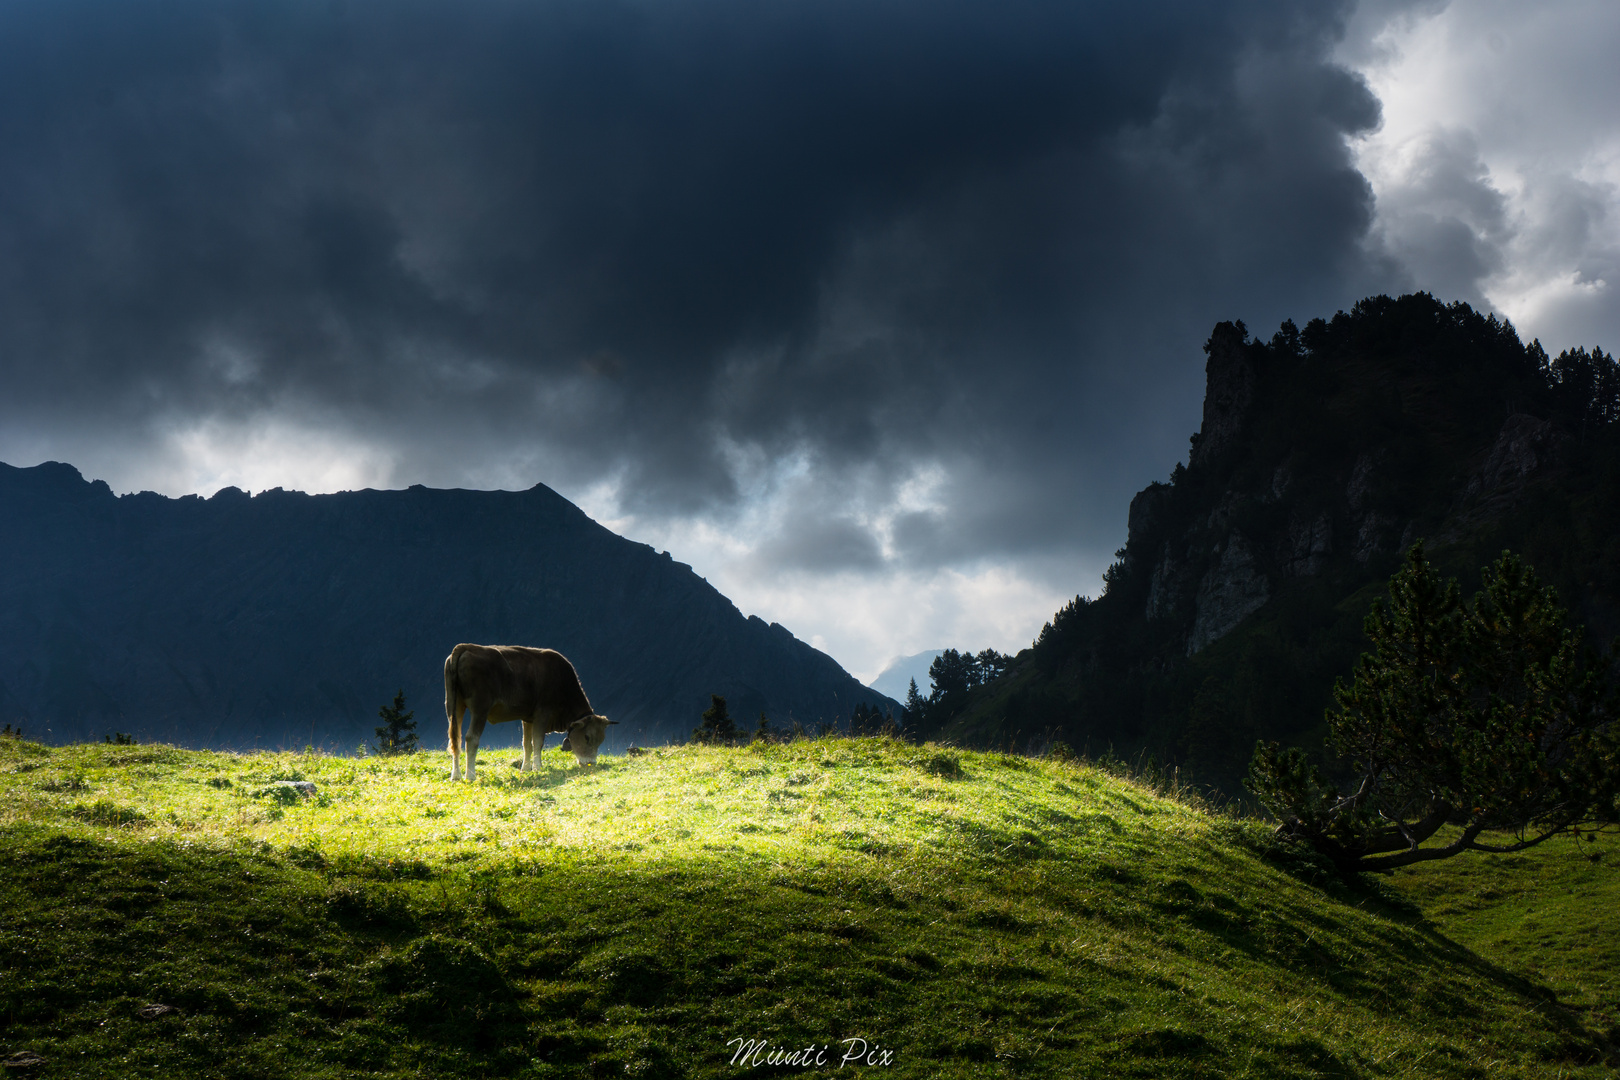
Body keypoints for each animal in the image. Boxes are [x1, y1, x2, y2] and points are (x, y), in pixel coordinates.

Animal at [440, 647, 615, 780]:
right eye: (587, 737)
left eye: (601, 740)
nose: (591, 763)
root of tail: (466, 647)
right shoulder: (542, 713)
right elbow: (537, 742)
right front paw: (538, 767)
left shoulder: (528, 718)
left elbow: (527, 744)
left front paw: (525, 768)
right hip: (480, 709)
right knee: (471, 738)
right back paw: (470, 775)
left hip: (453, 706)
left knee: (455, 739)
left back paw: (455, 775)